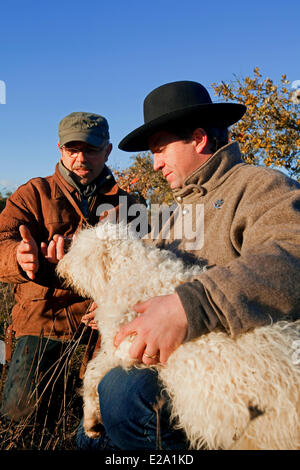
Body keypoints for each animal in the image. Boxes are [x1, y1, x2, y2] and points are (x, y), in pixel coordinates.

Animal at [56, 222, 300, 450]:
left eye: (75, 250)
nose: (60, 266)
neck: (130, 269)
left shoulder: (129, 343)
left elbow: (92, 374)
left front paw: (91, 422)